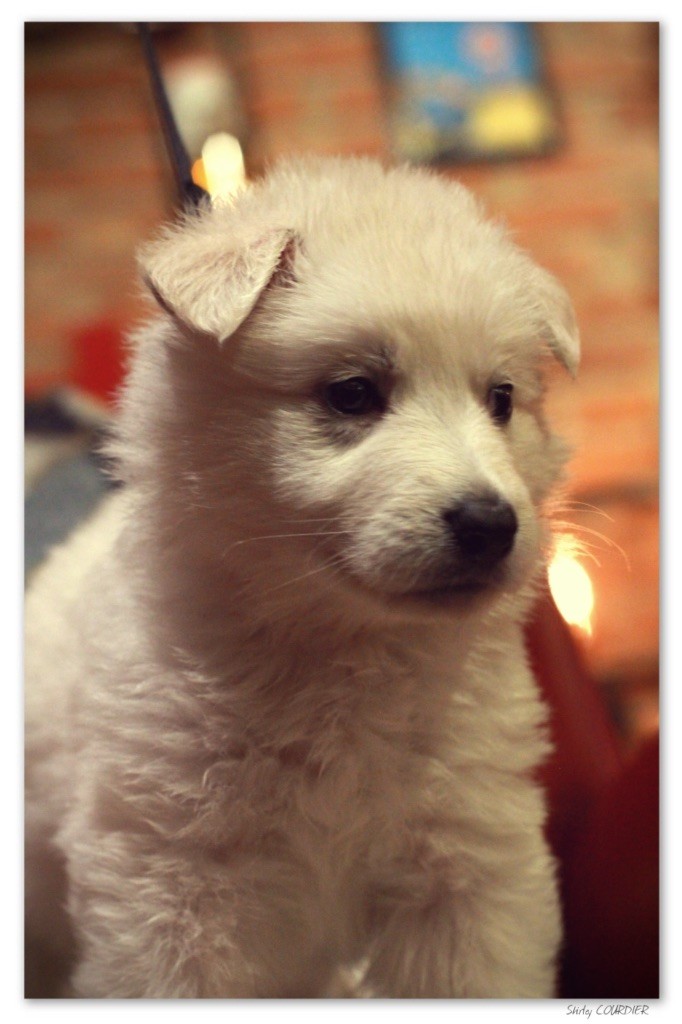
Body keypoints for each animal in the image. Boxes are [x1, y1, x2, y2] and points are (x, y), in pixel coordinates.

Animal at [25, 156, 579, 998]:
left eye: (502, 398)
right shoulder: (170, 888)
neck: (339, 649)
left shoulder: (467, 879)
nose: (491, 525)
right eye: (352, 393)